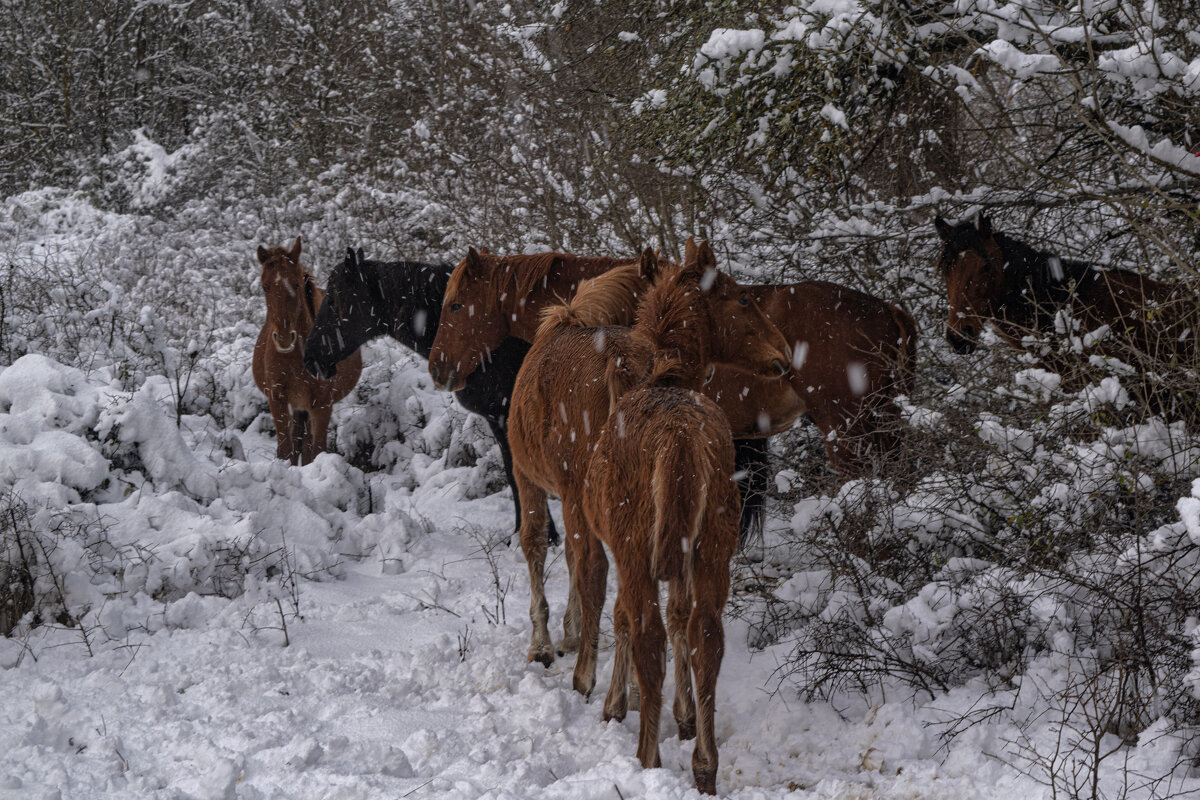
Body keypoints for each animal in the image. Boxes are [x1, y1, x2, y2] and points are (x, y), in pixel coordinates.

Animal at [252, 235, 360, 465]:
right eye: (265, 287)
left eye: (296, 284)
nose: (285, 338)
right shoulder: (278, 399)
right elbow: (286, 451)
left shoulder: (322, 404)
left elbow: (316, 451)